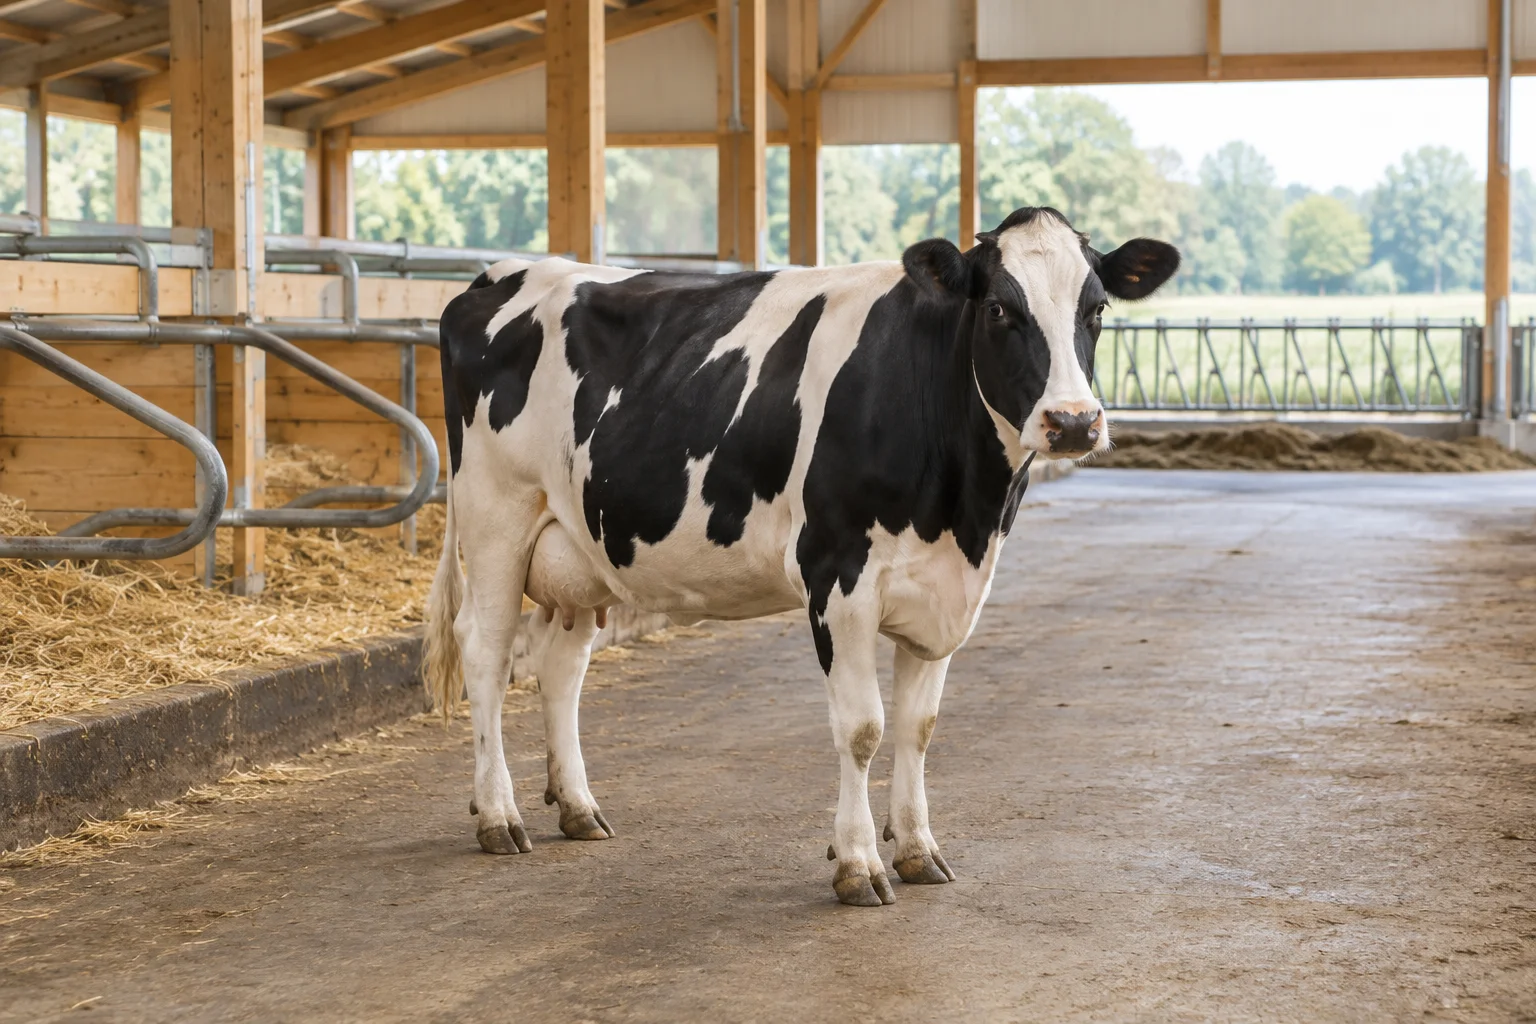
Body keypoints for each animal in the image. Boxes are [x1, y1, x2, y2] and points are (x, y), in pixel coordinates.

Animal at [424, 206, 1179, 906]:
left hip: (580, 541)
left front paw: (917, 849)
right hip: (496, 517)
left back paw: (578, 807)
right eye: (999, 308)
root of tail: (501, 275)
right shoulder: (838, 576)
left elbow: (919, 727)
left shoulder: (944, 589)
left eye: (1096, 310)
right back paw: (498, 816)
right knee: (487, 653)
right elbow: (863, 728)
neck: (964, 513)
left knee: (560, 665)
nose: (1074, 422)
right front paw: (859, 864)